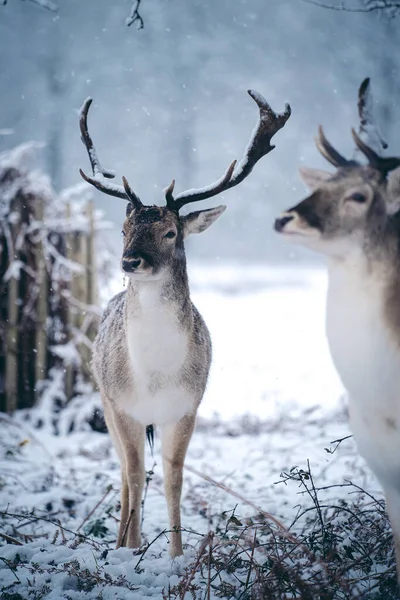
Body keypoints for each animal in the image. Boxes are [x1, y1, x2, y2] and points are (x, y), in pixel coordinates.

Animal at [79, 90, 290, 556]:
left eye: (171, 232)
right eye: (124, 228)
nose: (130, 261)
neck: (155, 377)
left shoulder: (187, 407)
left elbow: (173, 479)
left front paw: (176, 556)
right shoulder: (123, 407)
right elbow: (136, 475)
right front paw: (134, 550)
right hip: (103, 399)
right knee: (124, 473)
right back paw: (120, 541)